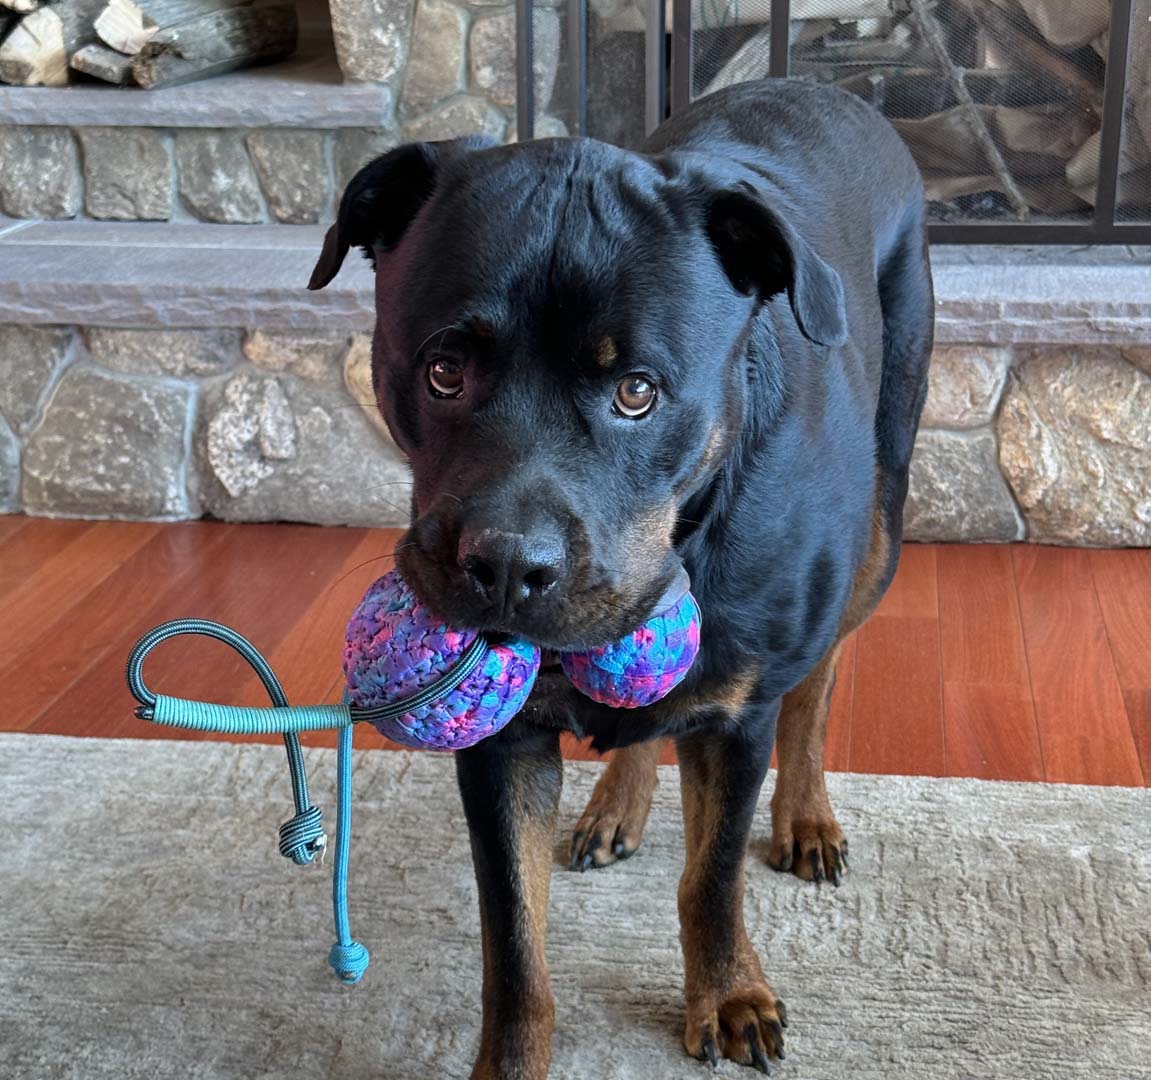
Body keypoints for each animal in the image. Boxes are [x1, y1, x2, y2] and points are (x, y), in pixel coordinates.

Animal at [309, 78, 933, 1078]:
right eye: (442, 370)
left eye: (637, 391)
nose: (505, 566)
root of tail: (825, 87)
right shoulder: (503, 743)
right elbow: (513, 940)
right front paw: (509, 1060)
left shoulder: (738, 717)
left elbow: (711, 877)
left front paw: (728, 993)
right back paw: (616, 803)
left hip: (882, 514)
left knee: (821, 675)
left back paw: (805, 815)